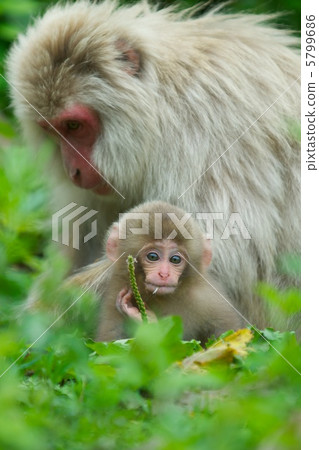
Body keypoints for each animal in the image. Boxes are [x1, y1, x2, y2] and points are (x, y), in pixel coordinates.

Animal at [71, 200, 244, 342]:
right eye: (153, 256)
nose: (164, 274)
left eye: (175, 259)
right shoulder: (116, 292)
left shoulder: (210, 300)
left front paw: (147, 321)